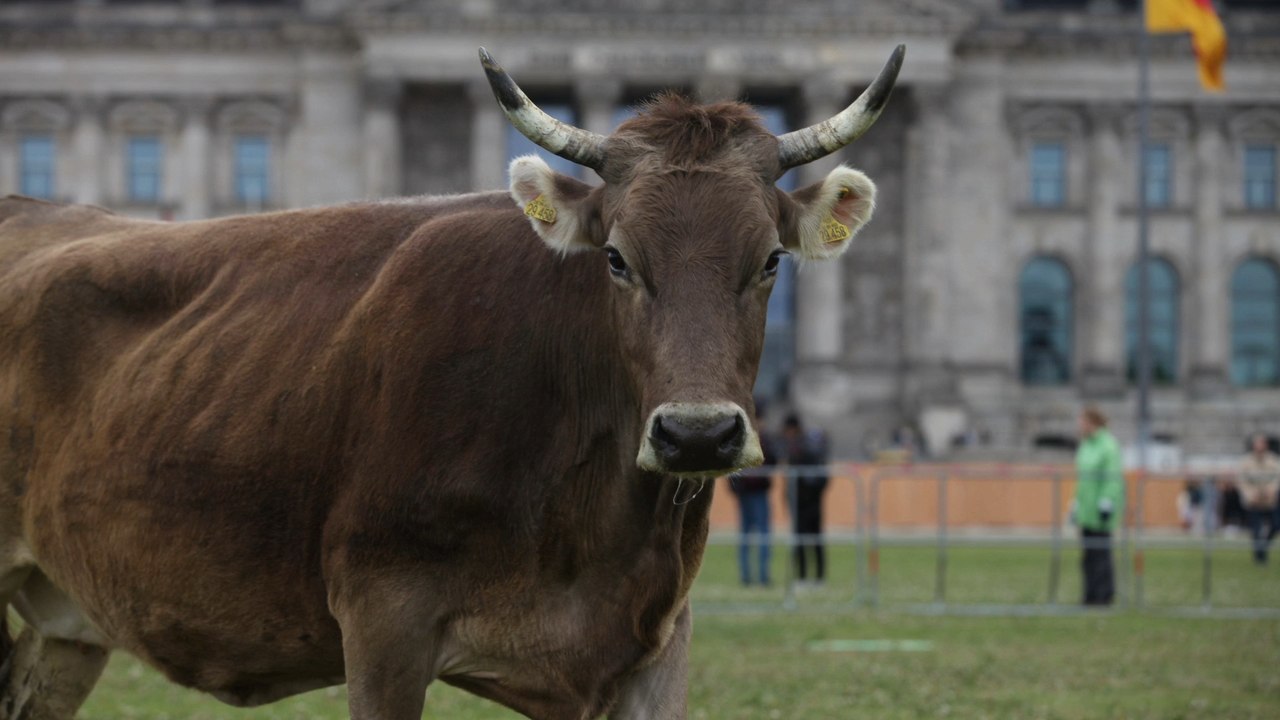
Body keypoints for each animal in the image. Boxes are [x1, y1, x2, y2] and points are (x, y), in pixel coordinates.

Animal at [0, 45, 902, 720]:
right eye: (616, 257)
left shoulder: (654, 646)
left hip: (62, 617)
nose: (698, 435)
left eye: (771, 259)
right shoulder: (382, 629)